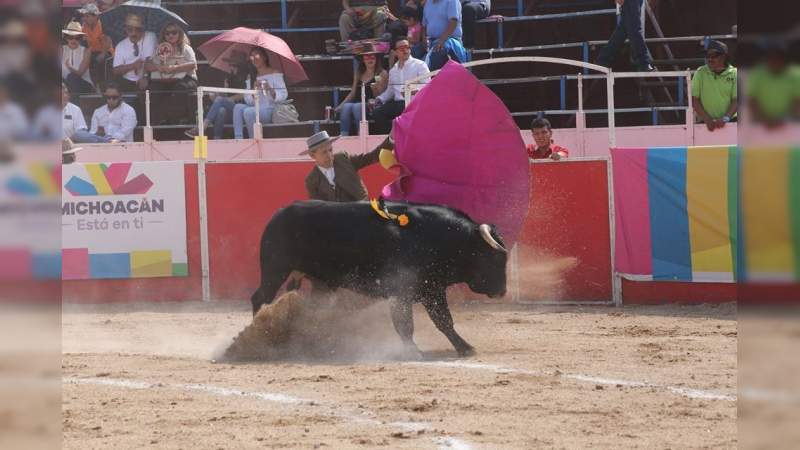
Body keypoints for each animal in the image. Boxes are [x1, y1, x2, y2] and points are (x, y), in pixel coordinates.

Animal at [253, 200, 510, 356]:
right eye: (494, 259)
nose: (502, 291)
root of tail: (278, 215)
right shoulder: (405, 291)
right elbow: (407, 324)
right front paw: (413, 351)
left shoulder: (432, 289)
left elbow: (444, 320)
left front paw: (464, 347)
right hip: (274, 271)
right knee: (260, 297)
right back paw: (259, 331)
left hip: (319, 283)